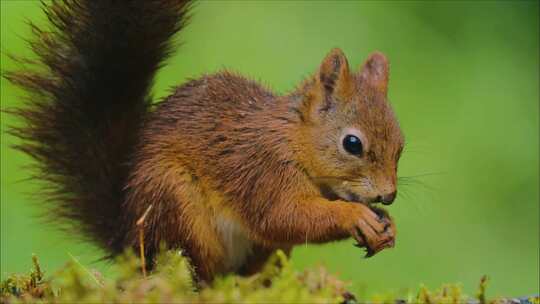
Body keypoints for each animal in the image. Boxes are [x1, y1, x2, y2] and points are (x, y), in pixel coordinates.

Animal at [5, 0, 400, 282]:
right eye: (352, 144)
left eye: (401, 145)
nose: (389, 195)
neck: (293, 141)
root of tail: (129, 240)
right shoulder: (262, 171)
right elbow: (284, 217)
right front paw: (354, 215)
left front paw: (386, 225)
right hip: (177, 204)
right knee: (201, 271)